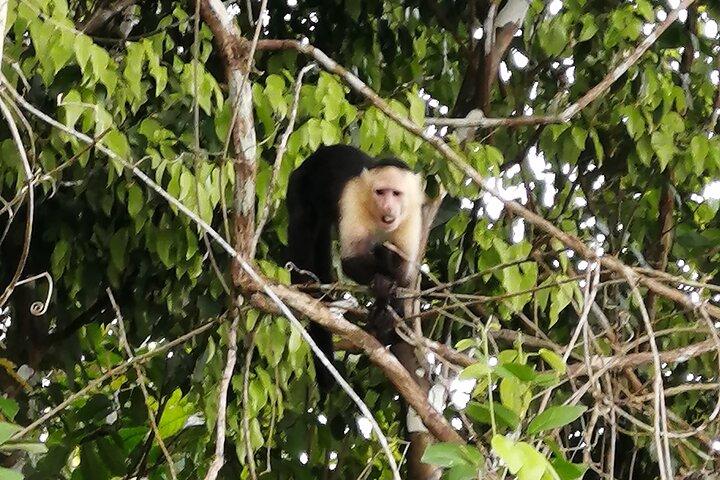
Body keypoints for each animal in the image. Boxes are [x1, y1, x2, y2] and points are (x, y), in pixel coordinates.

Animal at [286, 144, 425, 394]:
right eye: (380, 192)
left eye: (396, 194)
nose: (387, 206)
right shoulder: (353, 200)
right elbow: (350, 261)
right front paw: (382, 285)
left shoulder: (412, 214)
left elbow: (403, 274)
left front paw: (389, 310)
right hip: (299, 183)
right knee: (303, 222)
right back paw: (305, 287)